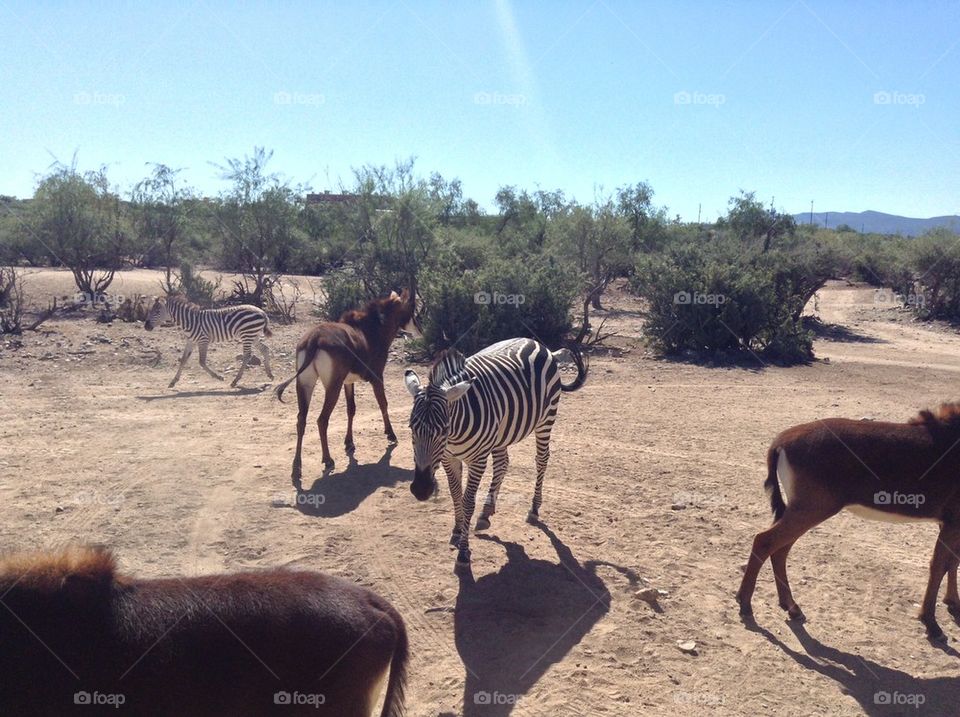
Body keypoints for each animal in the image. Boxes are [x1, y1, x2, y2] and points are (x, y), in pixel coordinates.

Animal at [144, 294, 274, 388]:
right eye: (151, 310)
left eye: (157, 312)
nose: (146, 326)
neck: (189, 321)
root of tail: (261, 311)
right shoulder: (191, 341)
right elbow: (183, 360)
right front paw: (173, 381)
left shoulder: (203, 340)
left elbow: (201, 362)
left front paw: (218, 377)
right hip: (253, 335)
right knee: (265, 349)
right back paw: (270, 375)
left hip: (247, 335)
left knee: (247, 355)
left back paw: (235, 381)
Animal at [404, 337, 587, 568]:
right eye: (411, 427)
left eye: (444, 430)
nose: (421, 490)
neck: (453, 434)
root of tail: (537, 343)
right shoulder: (448, 458)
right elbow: (455, 494)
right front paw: (457, 529)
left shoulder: (478, 460)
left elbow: (468, 501)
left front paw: (463, 552)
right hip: (501, 432)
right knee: (503, 462)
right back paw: (486, 512)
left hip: (546, 418)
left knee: (542, 459)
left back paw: (534, 509)